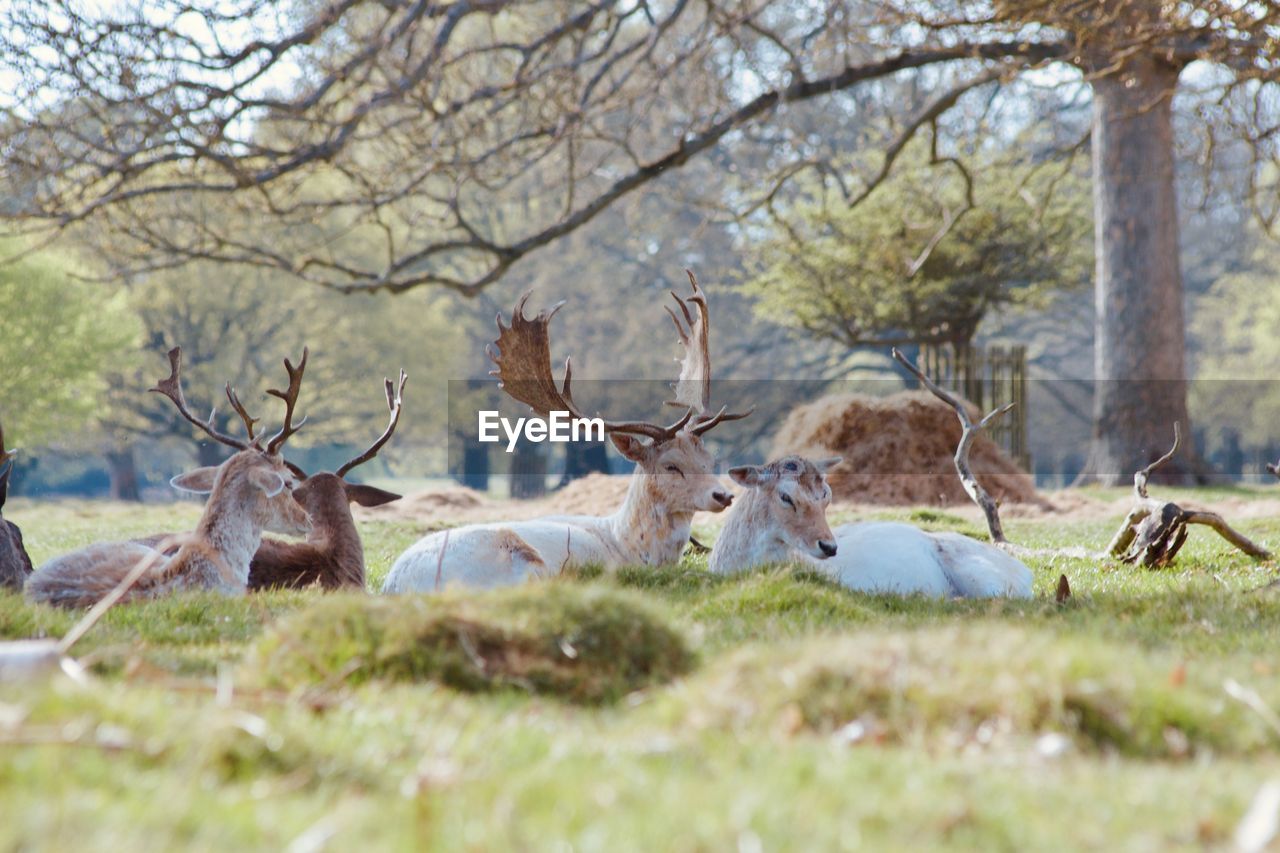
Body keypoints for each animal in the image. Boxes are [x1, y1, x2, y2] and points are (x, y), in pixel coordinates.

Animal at [378, 272, 747, 591]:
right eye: (671, 465)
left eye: (710, 460)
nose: (723, 495)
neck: (627, 546)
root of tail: (395, 587)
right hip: (523, 567)